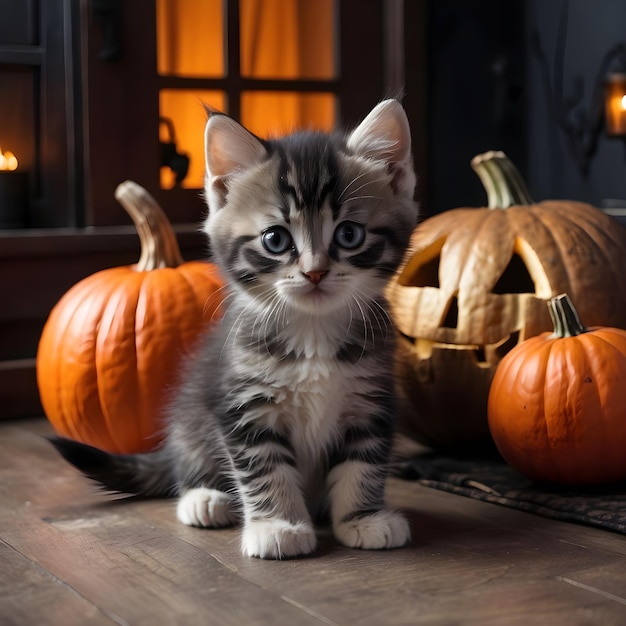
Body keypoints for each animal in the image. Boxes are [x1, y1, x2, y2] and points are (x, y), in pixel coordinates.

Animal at [50, 100, 420, 560]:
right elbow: (264, 467)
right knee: (187, 464)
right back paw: (204, 497)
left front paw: (362, 518)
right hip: (191, 412)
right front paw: (278, 525)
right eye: (275, 239)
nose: (315, 273)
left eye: (349, 234)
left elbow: (363, 461)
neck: (312, 330)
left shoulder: (372, 399)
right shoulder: (240, 402)